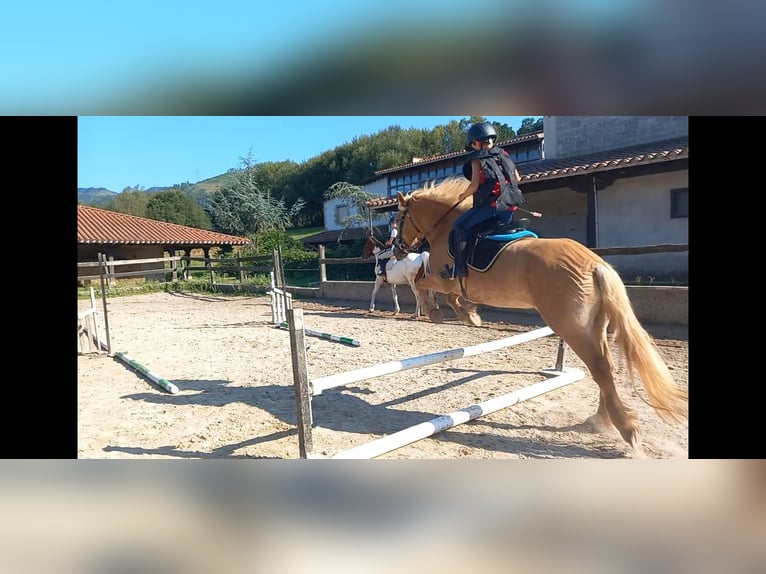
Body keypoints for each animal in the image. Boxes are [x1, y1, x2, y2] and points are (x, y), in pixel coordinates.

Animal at [396, 178, 688, 456]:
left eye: (398, 220)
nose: (397, 248)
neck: (444, 226)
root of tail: (595, 264)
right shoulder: (453, 284)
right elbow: (439, 291)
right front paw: (467, 315)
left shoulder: (445, 280)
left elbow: (425, 285)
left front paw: (444, 313)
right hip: (594, 327)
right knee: (607, 367)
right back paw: (599, 420)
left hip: (572, 327)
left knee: (601, 368)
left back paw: (625, 428)